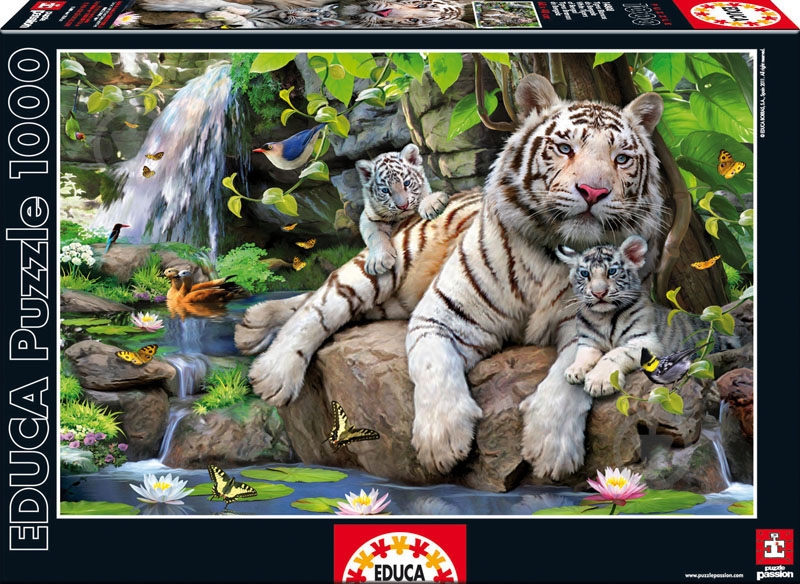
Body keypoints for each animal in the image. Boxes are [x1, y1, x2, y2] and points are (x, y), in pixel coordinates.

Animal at [356, 144, 450, 275]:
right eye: (385, 190)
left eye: (407, 183)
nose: (403, 206)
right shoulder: (368, 216)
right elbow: (374, 235)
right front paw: (379, 261)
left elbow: (424, 195)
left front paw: (432, 204)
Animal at [556, 235, 739, 397]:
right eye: (585, 274)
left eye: (612, 271)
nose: (599, 293)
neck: (603, 317)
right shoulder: (588, 341)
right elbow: (583, 353)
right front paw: (574, 370)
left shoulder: (645, 341)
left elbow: (614, 354)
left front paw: (598, 382)